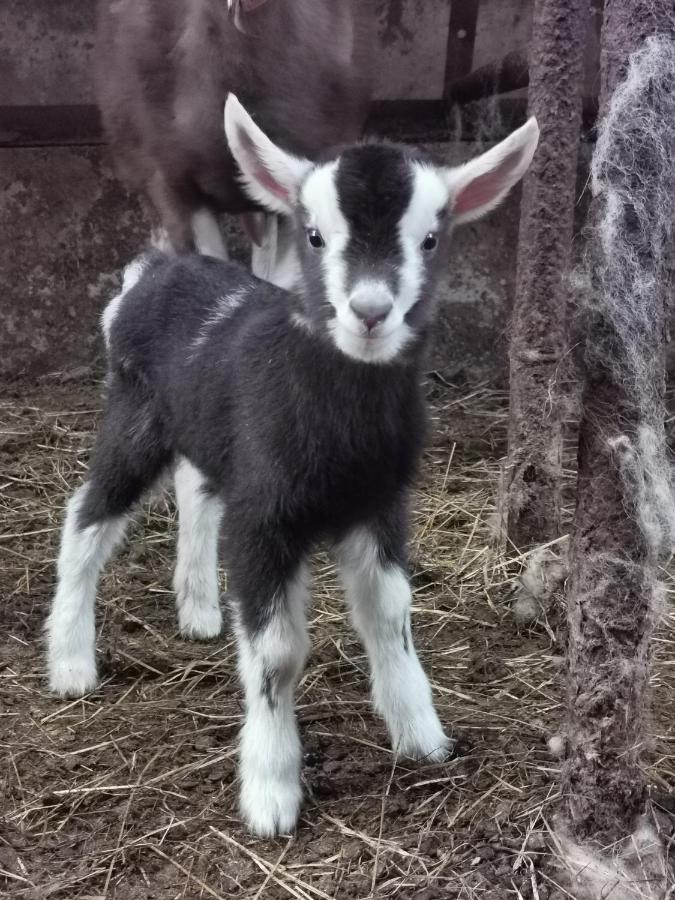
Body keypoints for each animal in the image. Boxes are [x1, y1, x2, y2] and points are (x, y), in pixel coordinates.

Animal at [46, 98, 540, 836]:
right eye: (313, 235)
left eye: (429, 240)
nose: (370, 311)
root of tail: (149, 274)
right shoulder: (265, 518)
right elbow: (277, 654)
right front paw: (271, 794)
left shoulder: (379, 505)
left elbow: (390, 615)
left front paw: (422, 737)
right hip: (135, 414)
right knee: (86, 516)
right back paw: (72, 662)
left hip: (207, 432)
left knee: (194, 489)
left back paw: (198, 610)